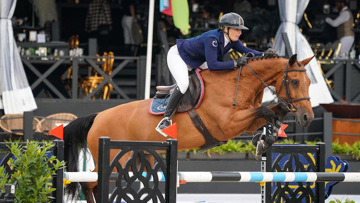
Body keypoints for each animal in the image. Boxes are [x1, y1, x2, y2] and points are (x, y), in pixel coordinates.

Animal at [64, 53, 316, 201]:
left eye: (309, 82)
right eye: (294, 81)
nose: (307, 117)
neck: (238, 84)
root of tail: (97, 117)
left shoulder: (243, 121)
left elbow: (273, 111)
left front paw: (266, 138)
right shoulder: (227, 124)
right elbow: (265, 112)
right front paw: (265, 137)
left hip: (137, 158)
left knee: (96, 184)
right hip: (115, 158)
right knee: (90, 183)